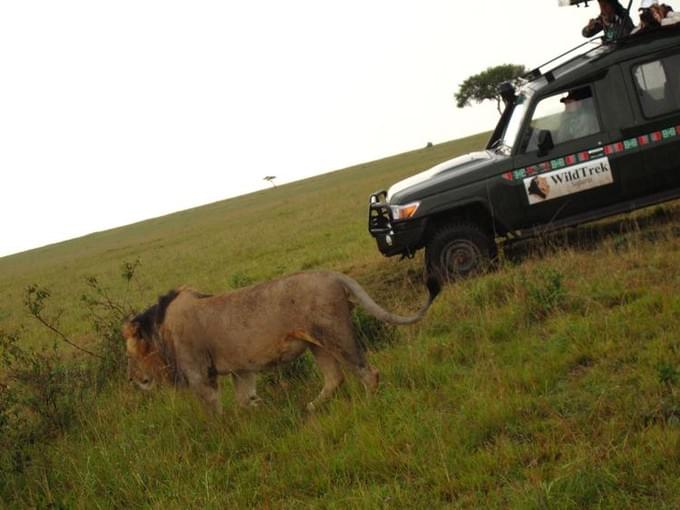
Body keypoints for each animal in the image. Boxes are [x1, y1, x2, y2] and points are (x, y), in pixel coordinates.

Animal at [122, 270, 440, 414]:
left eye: (130, 356)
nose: (132, 379)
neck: (159, 330)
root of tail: (332, 274)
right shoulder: (242, 369)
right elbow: (244, 399)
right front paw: (256, 412)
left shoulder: (199, 373)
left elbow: (214, 410)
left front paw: (223, 433)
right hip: (316, 344)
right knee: (334, 378)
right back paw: (310, 407)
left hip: (335, 334)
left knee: (367, 372)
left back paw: (369, 404)